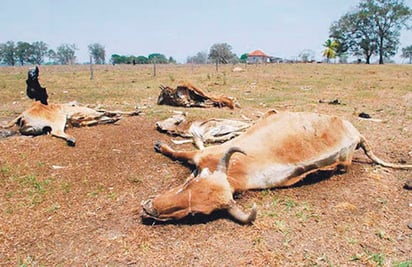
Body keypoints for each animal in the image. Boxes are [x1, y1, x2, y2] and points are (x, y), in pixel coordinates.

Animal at [4, 101, 140, 147]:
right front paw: (134, 111)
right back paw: (71, 139)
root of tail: (22, 116)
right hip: (59, 117)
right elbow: (112, 111)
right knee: (56, 131)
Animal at [142, 110, 412, 225]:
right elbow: (182, 151)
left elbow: (186, 149)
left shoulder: (205, 154)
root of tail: (355, 133)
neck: (238, 172)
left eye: (197, 214)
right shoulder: (202, 156)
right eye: (191, 182)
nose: (149, 209)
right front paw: (163, 145)